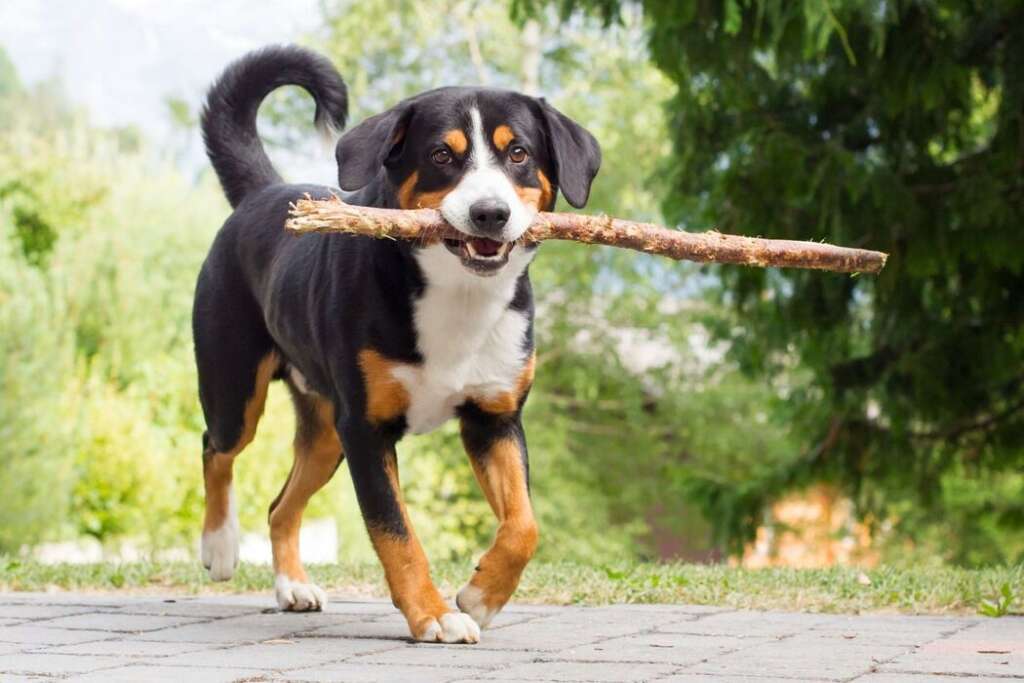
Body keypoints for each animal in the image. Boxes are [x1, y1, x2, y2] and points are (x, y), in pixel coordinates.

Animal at [192, 45, 598, 643]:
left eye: (519, 152)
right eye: (441, 155)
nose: (490, 213)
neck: (459, 297)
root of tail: (263, 192)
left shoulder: (494, 417)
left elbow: (524, 525)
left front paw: (481, 595)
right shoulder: (367, 429)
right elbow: (396, 533)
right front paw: (434, 615)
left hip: (326, 433)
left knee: (280, 506)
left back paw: (293, 586)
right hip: (236, 389)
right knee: (216, 449)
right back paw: (219, 545)